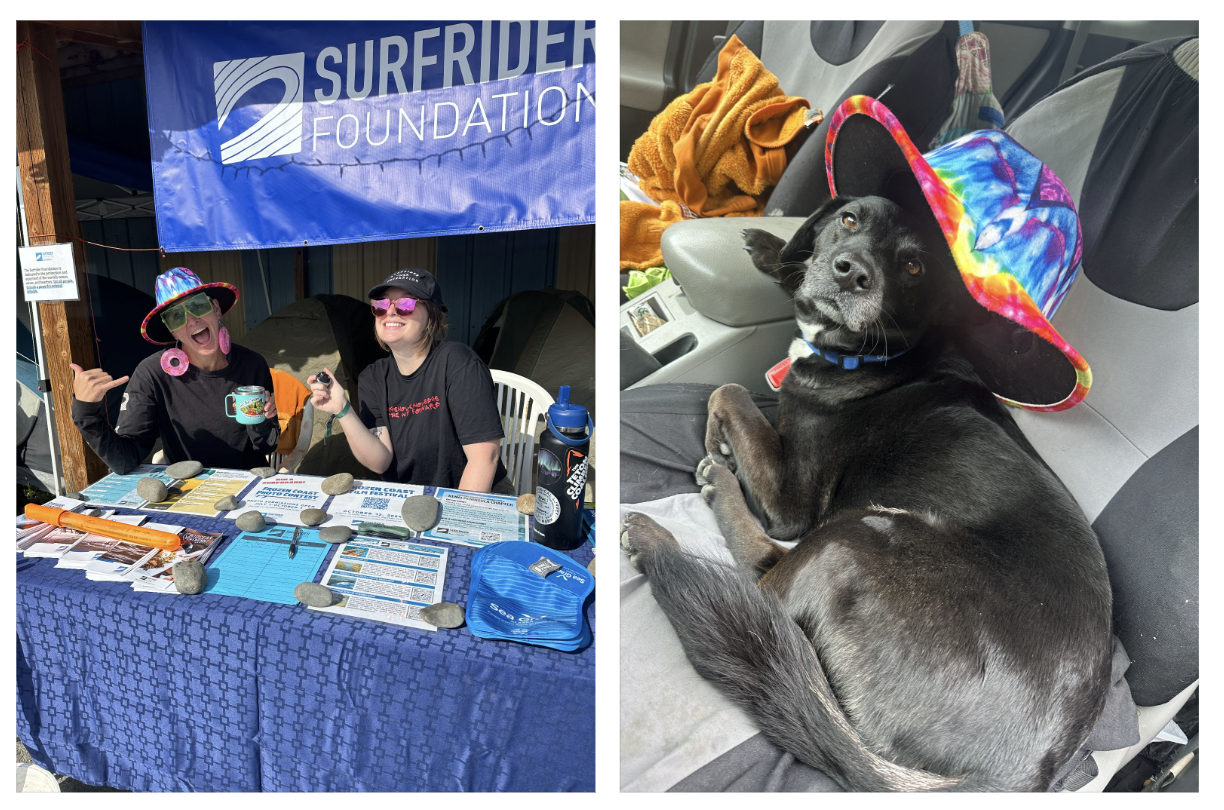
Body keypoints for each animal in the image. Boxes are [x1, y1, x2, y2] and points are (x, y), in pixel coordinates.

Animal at [626, 195, 1116, 792]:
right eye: (849, 220)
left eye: (914, 267)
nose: (852, 273)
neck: (880, 353)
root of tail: (1005, 780)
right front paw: (771, 249)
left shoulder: (792, 501)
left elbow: (732, 391)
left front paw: (717, 441)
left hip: (853, 539)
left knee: (756, 594)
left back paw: (676, 526)